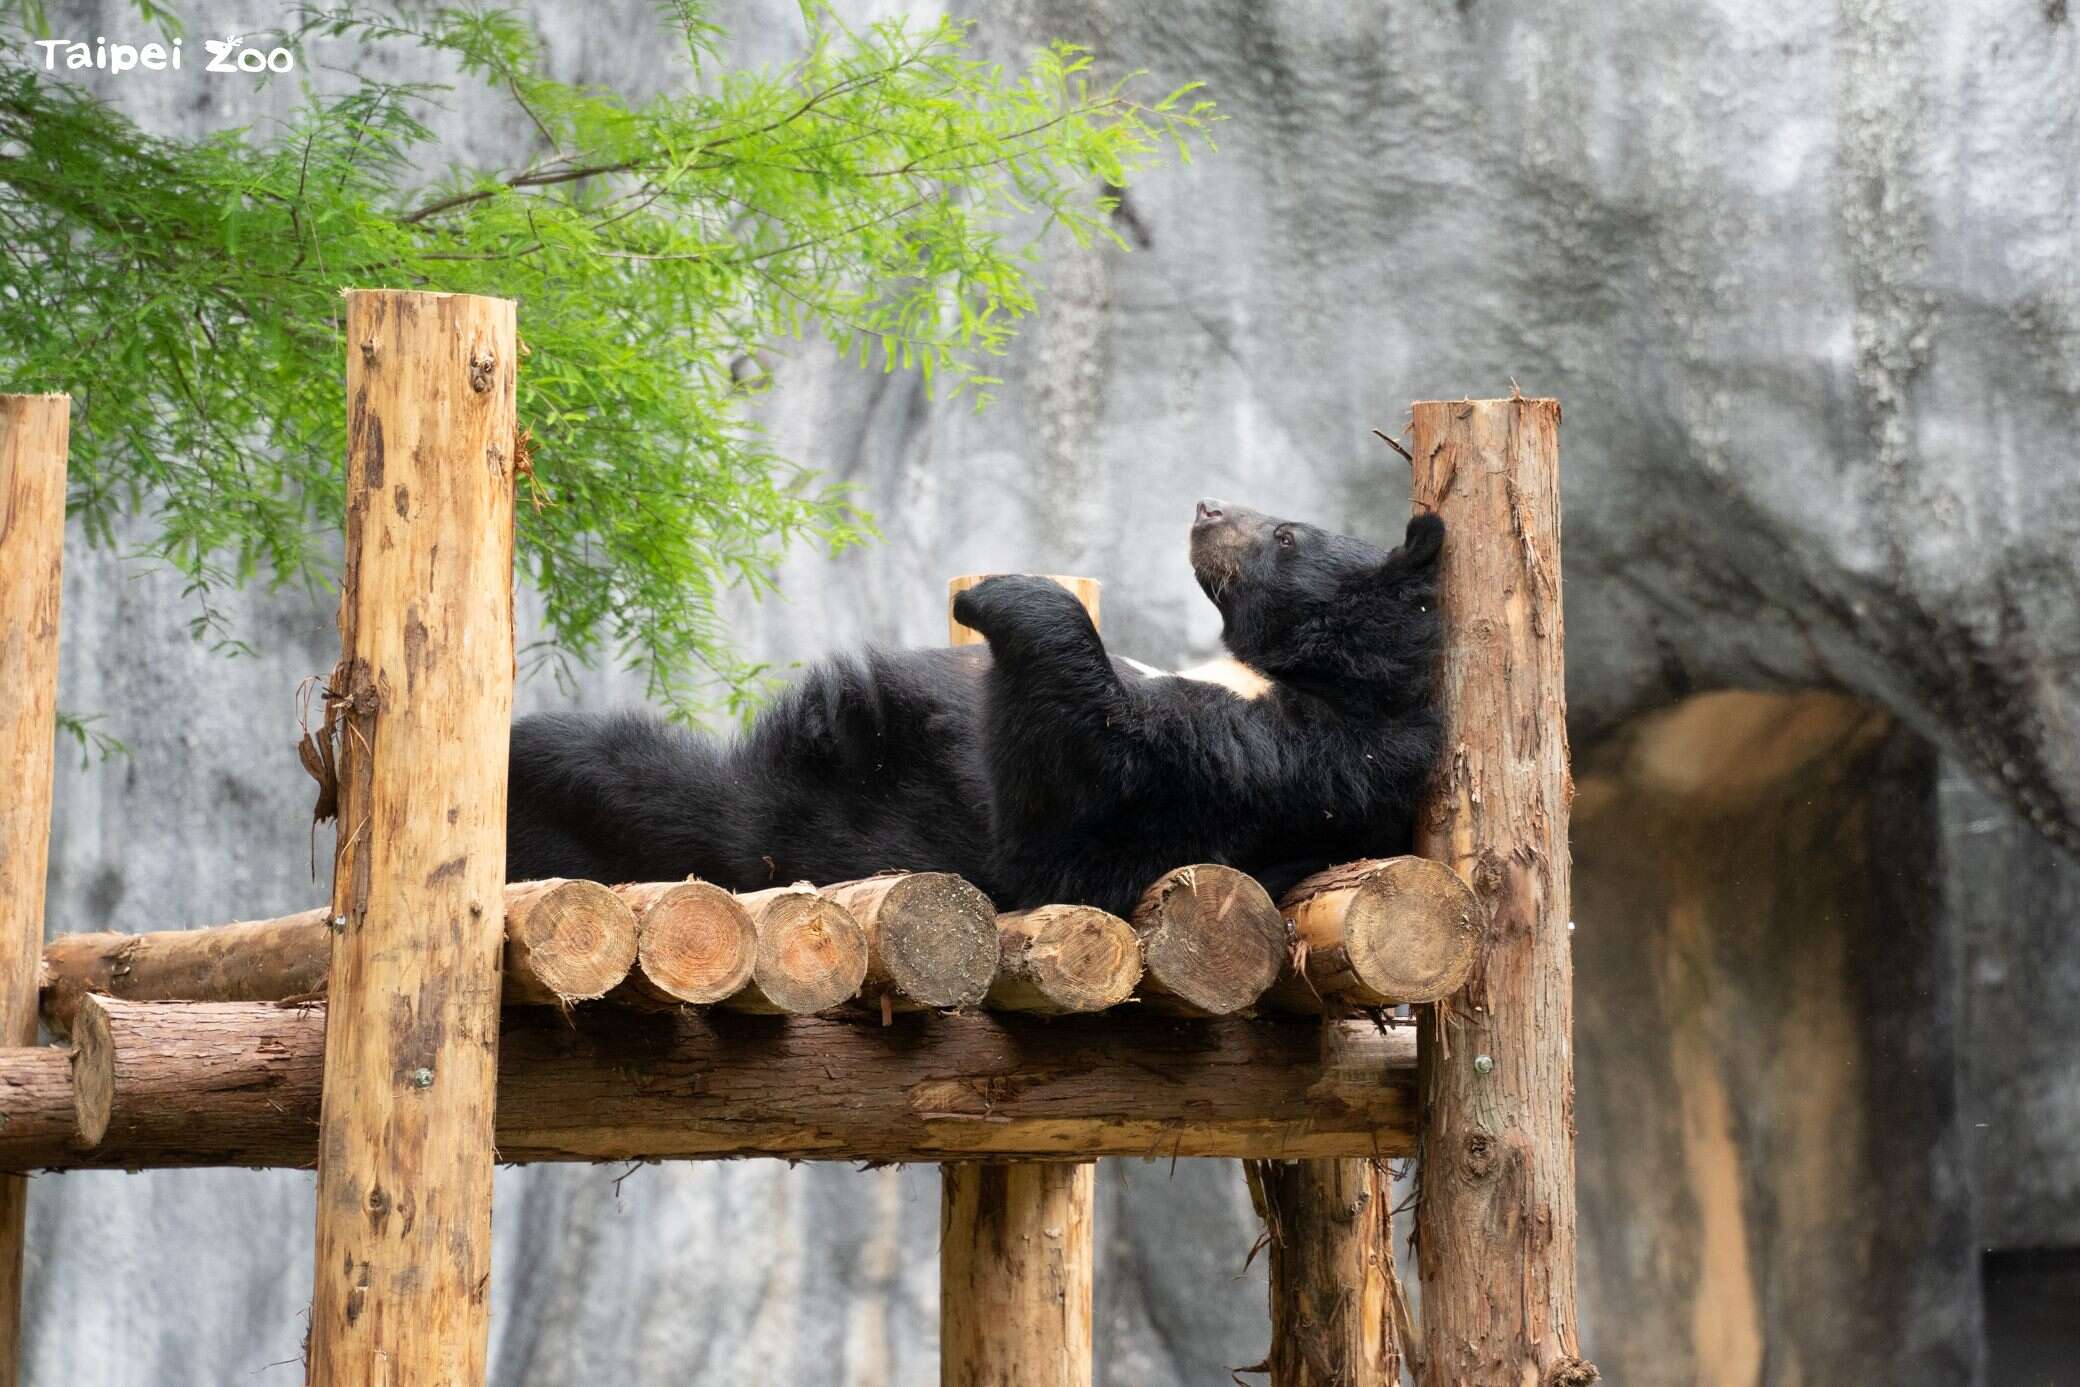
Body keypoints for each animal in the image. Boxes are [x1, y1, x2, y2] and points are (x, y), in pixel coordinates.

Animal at [506, 501, 1445, 916]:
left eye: (1285, 534)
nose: (1207, 507)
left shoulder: (1273, 765)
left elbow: (1077, 797)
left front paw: (999, 594)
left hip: (752, 815)